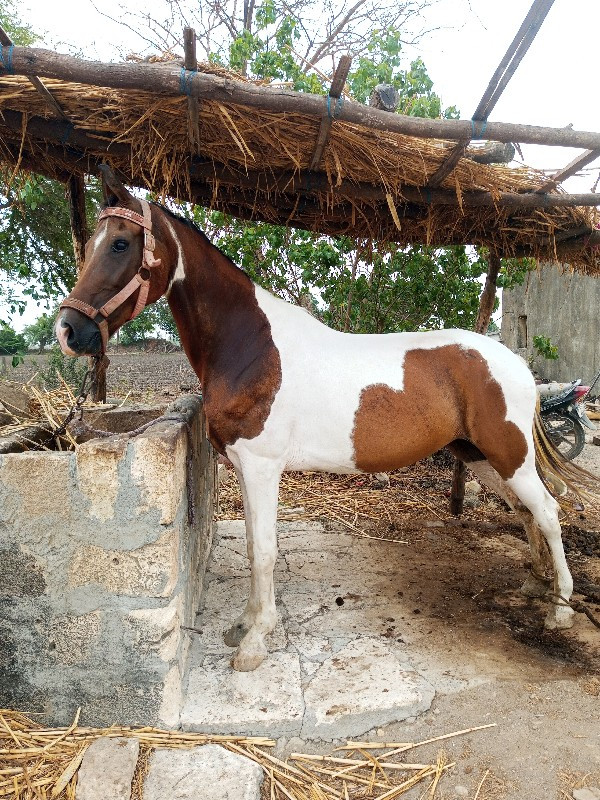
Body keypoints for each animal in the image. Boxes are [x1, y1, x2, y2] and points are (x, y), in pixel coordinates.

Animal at [55, 166, 576, 672]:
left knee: (548, 511)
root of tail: (515, 362)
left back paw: (561, 609)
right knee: (525, 510)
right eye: (94, 242)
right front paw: (243, 625)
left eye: (121, 243)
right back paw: (538, 583)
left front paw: (256, 643)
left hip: (509, 455)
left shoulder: (263, 467)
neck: (251, 348)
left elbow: (265, 551)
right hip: (483, 457)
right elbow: (252, 544)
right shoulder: (244, 468)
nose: (69, 331)